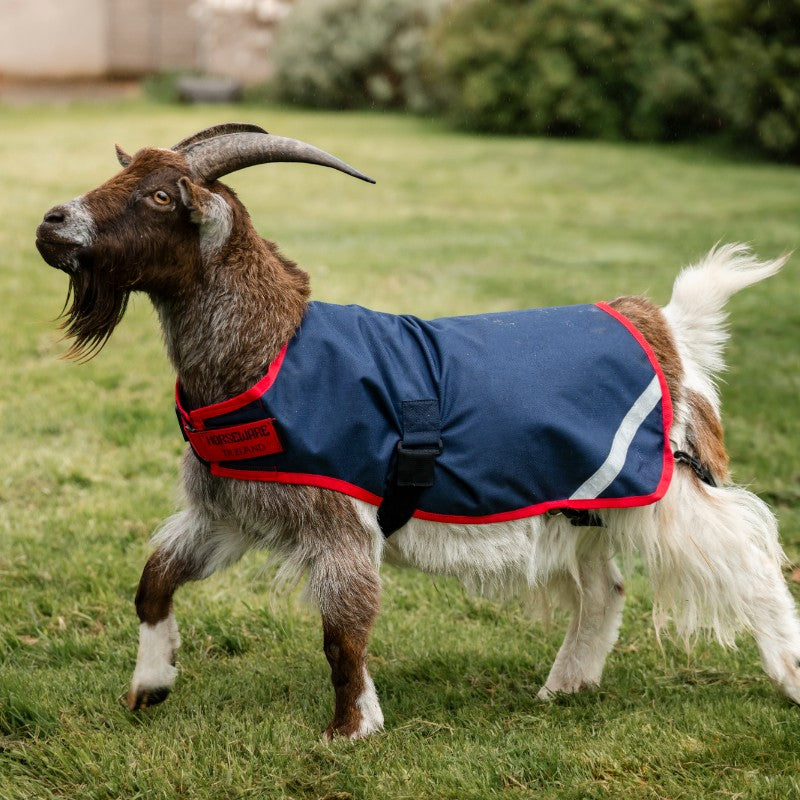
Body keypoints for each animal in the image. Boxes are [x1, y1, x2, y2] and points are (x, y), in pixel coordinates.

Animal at [36, 123, 800, 739]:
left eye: (162, 197)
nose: (51, 221)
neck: (270, 350)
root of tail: (664, 325)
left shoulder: (337, 517)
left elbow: (343, 629)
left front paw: (349, 730)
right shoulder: (231, 509)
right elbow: (156, 578)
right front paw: (150, 685)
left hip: (666, 487)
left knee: (748, 556)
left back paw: (788, 676)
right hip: (584, 500)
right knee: (604, 588)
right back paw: (565, 685)